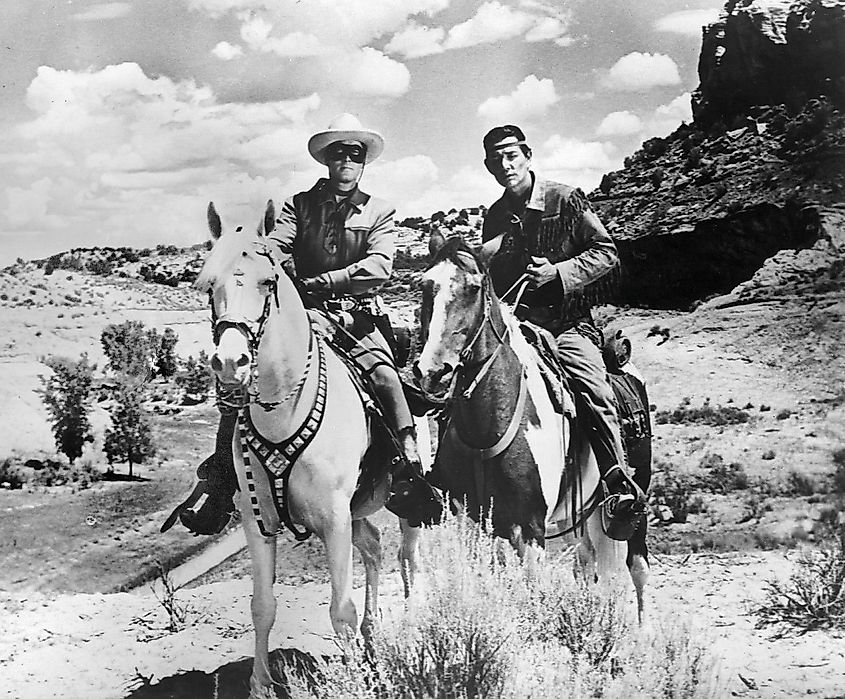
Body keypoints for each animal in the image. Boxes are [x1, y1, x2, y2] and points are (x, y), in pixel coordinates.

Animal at [198, 202, 422, 699]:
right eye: (208, 284)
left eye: (268, 281)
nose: (230, 363)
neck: (285, 410)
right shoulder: (257, 520)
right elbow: (262, 605)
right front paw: (261, 684)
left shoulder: (334, 520)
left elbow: (341, 609)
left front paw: (354, 680)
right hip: (358, 512)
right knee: (374, 547)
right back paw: (374, 634)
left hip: (406, 506)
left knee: (408, 558)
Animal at [414, 232, 648, 608]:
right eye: (424, 286)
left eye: (474, 287)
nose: (433, 372)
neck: (487, 424)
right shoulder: (470, 522)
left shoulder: (530, 528)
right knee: (586, 565)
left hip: (635, 500)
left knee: (637, 569)